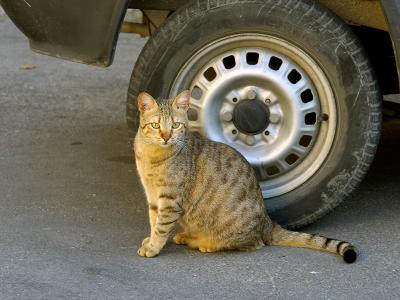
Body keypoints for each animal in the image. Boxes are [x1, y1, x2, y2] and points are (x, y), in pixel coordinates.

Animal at [134, 90, 356, 264]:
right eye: (156, 126)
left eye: (176, 125)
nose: (166, 136)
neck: (152, 156)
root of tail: (268, 222)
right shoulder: (153, 196)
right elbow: (154, 221)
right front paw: (151, 240)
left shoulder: (170, 199)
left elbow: (161, 226)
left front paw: (154, 247)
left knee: (253, 244)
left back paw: (206, 243)